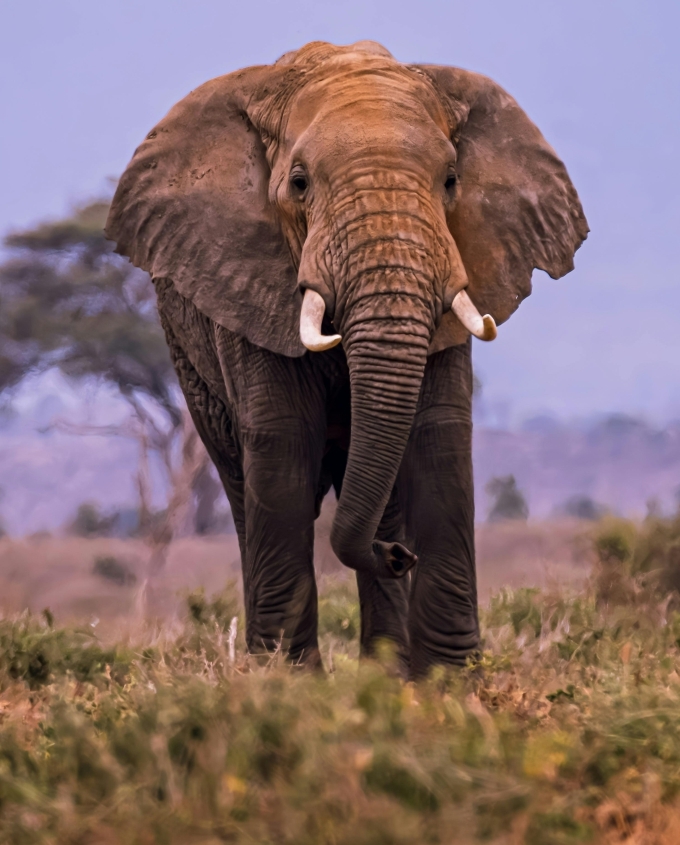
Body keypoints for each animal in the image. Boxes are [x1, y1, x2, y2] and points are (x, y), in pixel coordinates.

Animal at [106, 40, 587, 678]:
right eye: (299, 183)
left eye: (451, 181)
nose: (400, 556)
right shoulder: (245, 279)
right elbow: (281, 444)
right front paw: (288, 683)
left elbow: (439, 438)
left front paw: (451, 682)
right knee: (243, 488)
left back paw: (387, 669)